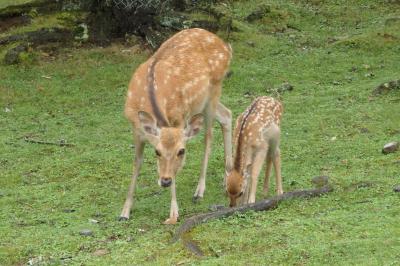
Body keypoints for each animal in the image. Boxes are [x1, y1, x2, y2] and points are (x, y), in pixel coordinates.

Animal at [120, 28, 233, 224]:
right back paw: (228, 178)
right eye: (156, 152)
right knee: (227, 115)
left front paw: (173, 213)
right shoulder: (136, 128)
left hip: (214, 90)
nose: (165, 181)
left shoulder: (179, 118)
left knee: (208, 136)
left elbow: (176, 168)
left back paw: (199, 190)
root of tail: (225, 45)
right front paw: (125, 211)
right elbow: (137, 163)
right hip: (202, 102)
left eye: (182, 151)